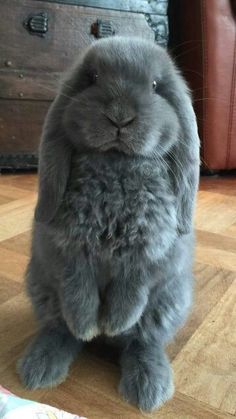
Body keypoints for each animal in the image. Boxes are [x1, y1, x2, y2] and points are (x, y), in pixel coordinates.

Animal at [17, 37, 200, 412]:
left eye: (156, 86)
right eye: (93, 78)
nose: (120, 116)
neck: (116, 163)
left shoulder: (148, 256)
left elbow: (132, 290)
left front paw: (114, 323)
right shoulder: (67, 252)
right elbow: (79, 291)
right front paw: (89, 325)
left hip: (167, 304)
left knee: (140, 342)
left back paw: (148, 387)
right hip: (42, 289)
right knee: (60, 330)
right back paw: (40, 368)